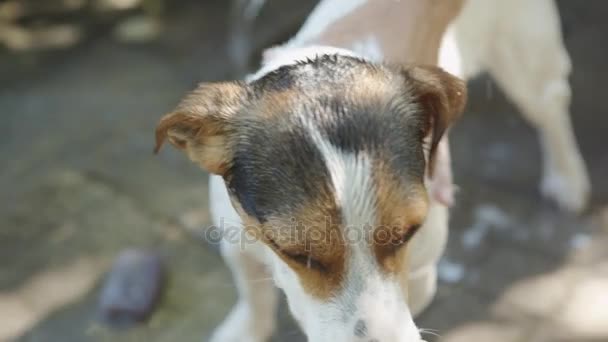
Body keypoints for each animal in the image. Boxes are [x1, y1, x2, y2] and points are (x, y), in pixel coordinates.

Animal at [156, 0, 588, 342]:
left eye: (407, 233)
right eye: (294, 251)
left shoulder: (420, 276)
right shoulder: (235, 241)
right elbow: (253, 296)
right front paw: (247, 329)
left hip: (528, 60)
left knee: (551, 110)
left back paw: (568, 178)